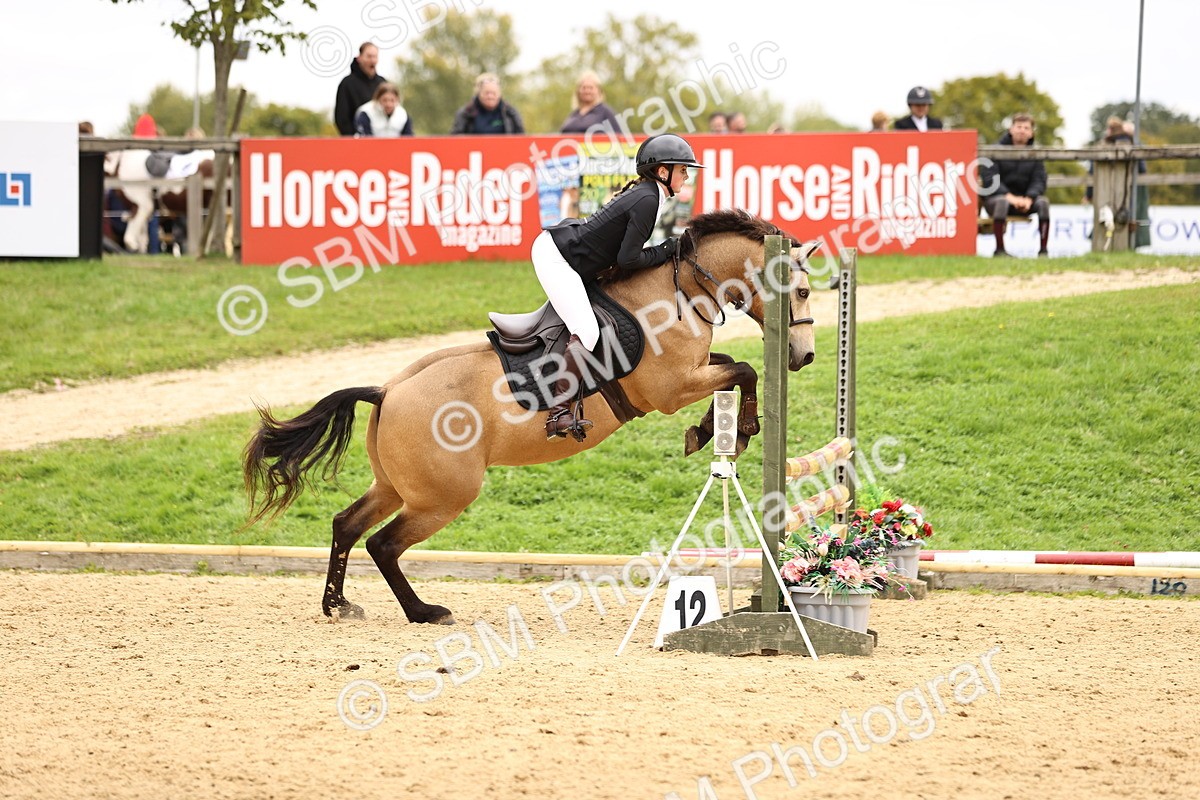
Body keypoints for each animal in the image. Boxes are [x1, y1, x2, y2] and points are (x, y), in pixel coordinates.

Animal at [242, 209, 816, 625]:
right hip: (443, 495)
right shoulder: (670, 389)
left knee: (346, 524)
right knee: (383, 543)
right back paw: (424, 612)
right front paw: (739, 430)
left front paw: (710, 430)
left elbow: (732, 366)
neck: (678, 291)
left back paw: (338, 605)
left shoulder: (692, 374)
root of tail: (386, 392)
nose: (804, 356)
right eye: (805, 290)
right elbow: (743, 369)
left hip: (397, 485)